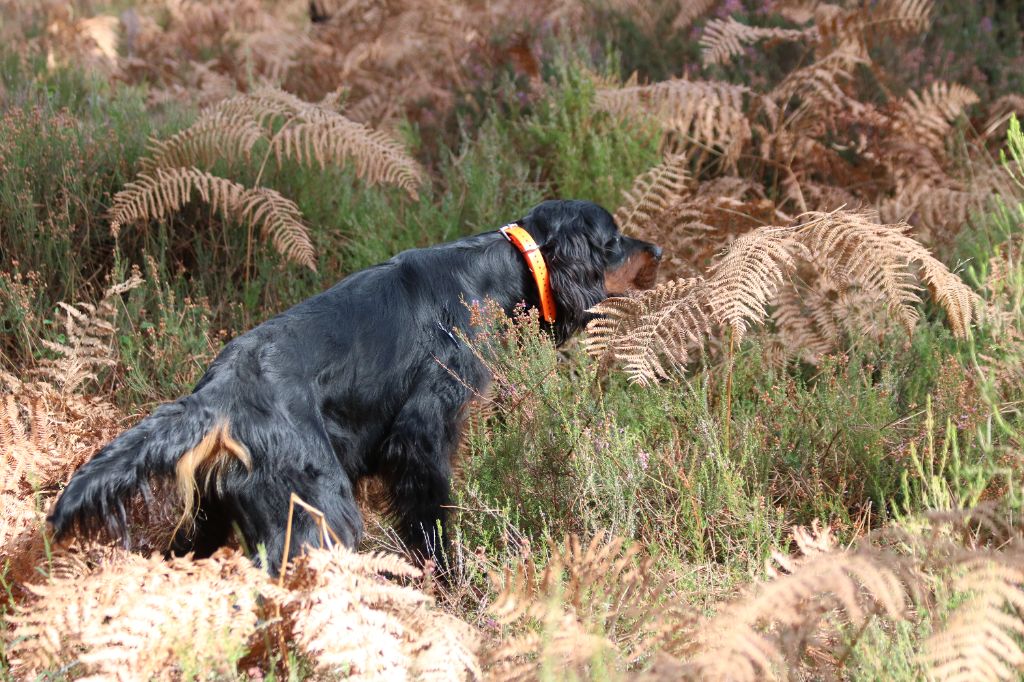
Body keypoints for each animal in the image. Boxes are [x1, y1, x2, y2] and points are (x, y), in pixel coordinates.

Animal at [48, 199, 659, 569]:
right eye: (613, 240)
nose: (657, 249)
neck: (502, 268)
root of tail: (217, 395)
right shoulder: (421, 437)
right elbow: (431, 520)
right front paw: (450, 580)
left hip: (210, 516)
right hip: (318, 511)